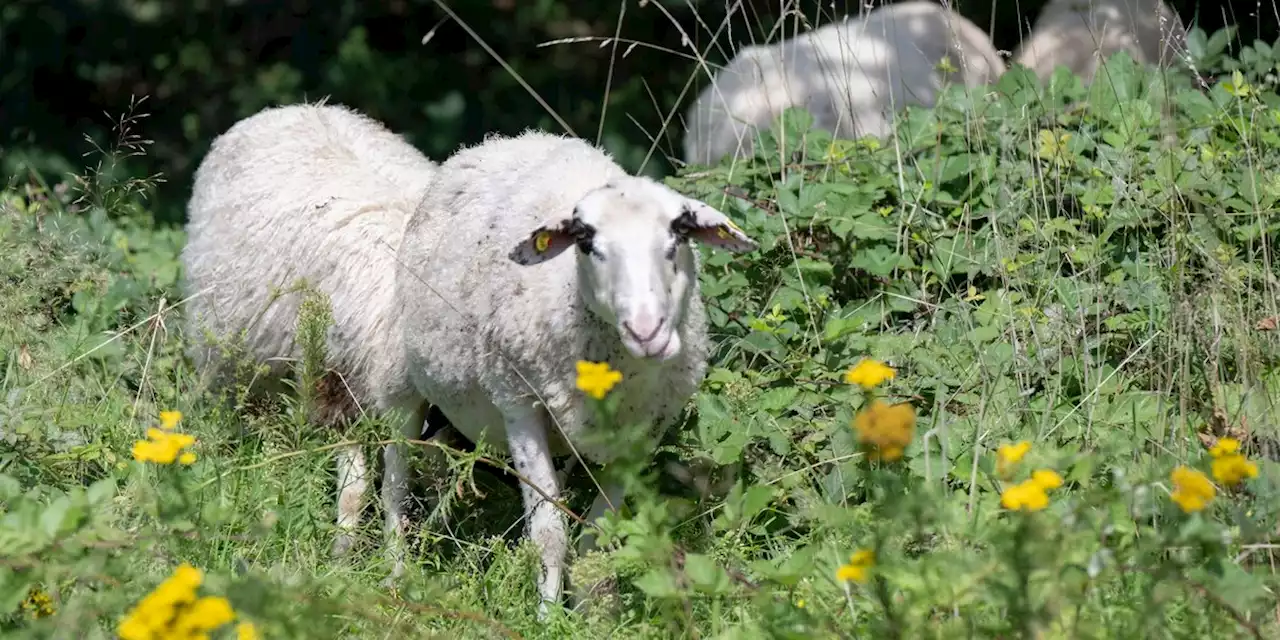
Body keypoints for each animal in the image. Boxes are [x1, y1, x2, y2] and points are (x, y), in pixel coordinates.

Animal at [180, 99, 440, 560]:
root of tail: (296, 106)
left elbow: (402, 482)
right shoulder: (341, 385)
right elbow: (364, 488)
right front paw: (348, 556)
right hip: (235, 354)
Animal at [394, 128, 757, 609]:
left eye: (679, 234)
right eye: (587, 242)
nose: (647, 331)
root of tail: (512, 138)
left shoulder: (643, 433)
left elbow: (598, 536)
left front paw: (593, 609)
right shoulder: (519, 406)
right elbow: (549, 534)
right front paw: (548, 614)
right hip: (409, 390)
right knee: (395, 472)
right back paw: (394, 567)